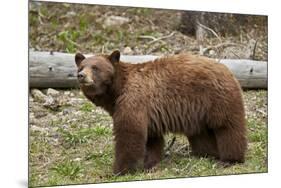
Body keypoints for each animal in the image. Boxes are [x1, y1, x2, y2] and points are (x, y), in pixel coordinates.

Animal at [75, 50, 247, 175]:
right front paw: (149, 164)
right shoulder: (148, 113)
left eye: (95, 68)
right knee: (201, 134)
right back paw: (206, 153)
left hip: (216, 99)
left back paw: (230, 159)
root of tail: (227, 69)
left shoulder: (133, 101)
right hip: (198, 112)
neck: (117, 91)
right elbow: (151, 139)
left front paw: (119, 170)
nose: (81, 75)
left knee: (227, 127)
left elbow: (129, 133)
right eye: (81, 66)